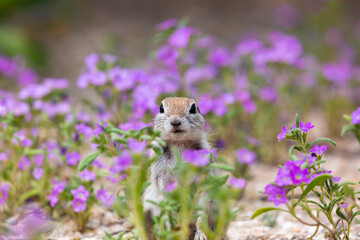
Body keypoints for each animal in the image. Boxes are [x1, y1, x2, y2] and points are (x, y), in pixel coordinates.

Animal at [143, 96, 214, 239]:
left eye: (193, 108)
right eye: (161, 108)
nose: (175, 121)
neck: (179, 143)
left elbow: (203, 208)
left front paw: (201, 235)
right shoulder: (161, 172)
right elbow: (165, 201)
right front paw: (168, 228)